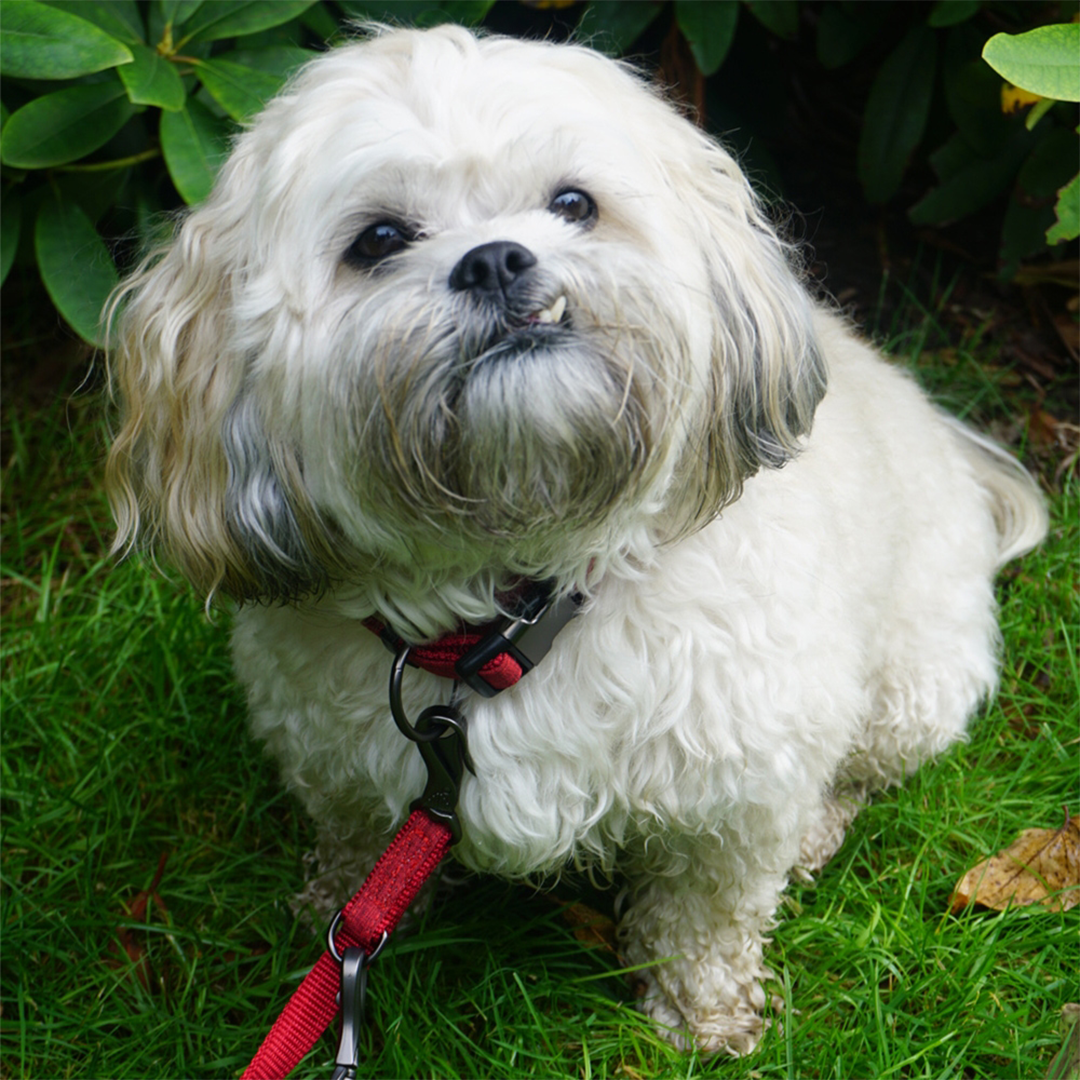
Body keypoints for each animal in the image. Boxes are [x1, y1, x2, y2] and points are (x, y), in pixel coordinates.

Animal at [105, 23, 1049, 1054]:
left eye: (572, 204)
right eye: (379, 240)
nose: (496, 260)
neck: (518, 616)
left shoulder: (741, 788)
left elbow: (708, 909)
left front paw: (702, 1015)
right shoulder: (340, 766)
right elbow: (358, 850)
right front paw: (335, 919)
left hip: (910, 688)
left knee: (861, 774)